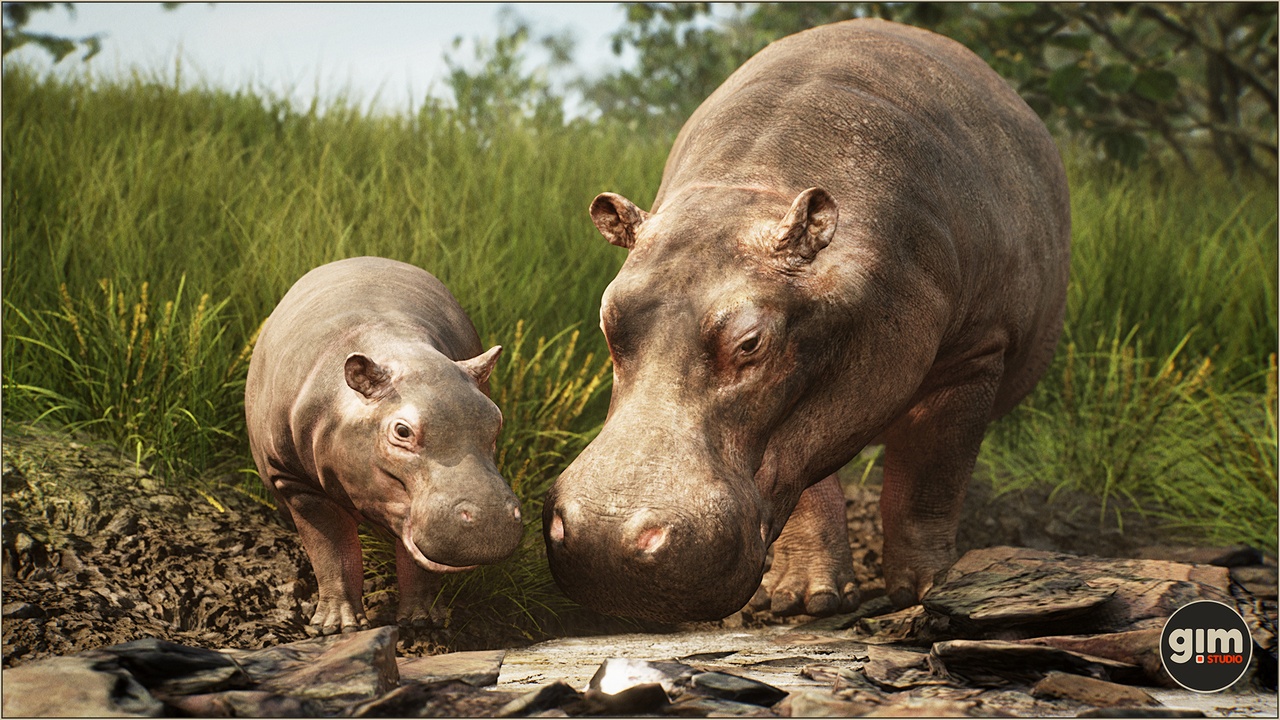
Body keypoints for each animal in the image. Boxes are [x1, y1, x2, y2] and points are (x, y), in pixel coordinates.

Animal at [245, 256, 523, 634]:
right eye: (402, 431)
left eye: (496, 419)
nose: (490, 519)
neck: (396, 345)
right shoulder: (294, 481)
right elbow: (332, 551)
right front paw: (338, 627)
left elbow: (416, 563)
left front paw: (423, 621)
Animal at [543, 19, 1070, 622]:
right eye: (608, 318)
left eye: (751, 342)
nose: (604, 538)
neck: (754, 184)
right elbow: (809, 494)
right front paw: (806, 601)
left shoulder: (977, 352)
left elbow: (932, 479)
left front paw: (930, 589)